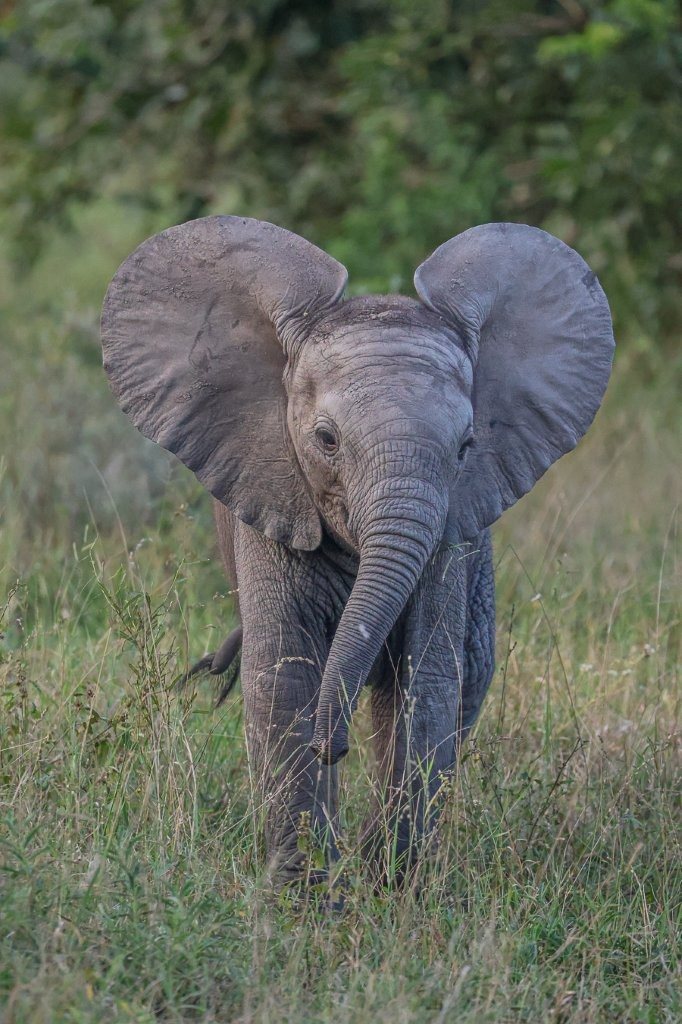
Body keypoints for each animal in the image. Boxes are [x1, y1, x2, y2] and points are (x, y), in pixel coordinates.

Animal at [101, 216, 614, 890]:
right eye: (325, 440)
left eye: (466, 446)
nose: (332, 745)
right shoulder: (274, 497)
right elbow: (285, 677)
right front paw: (306, 894)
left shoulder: (447, 540)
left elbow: (427, 681)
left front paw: (389, 888)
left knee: (468, 675)